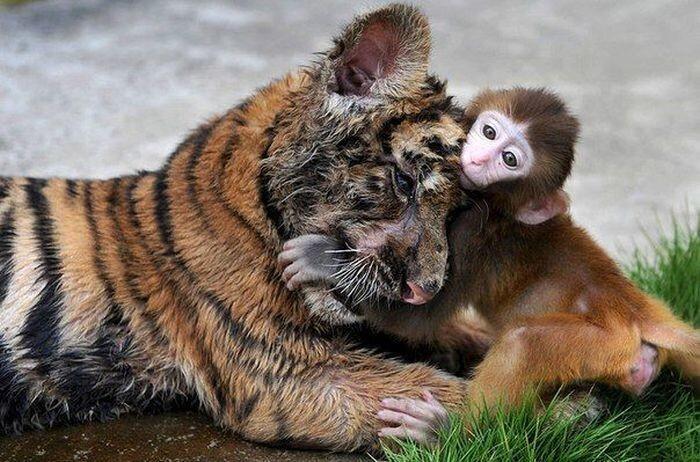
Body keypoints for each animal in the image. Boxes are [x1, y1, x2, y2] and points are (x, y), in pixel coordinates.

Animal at [0, 4, 479, 452]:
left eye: (455, 213)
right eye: (405, 182)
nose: (424, 290)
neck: (264, 201)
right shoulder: (286, 369)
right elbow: (455, 394)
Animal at [278, 87, 700, 443]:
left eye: (509, 160)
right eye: (489, 131)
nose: (479, 158)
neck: (497, 207)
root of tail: (637, 308)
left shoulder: (470, 234)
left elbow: (416, 315)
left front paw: (323, 259)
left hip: (602, 344)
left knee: (522, 342)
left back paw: (447, 430)